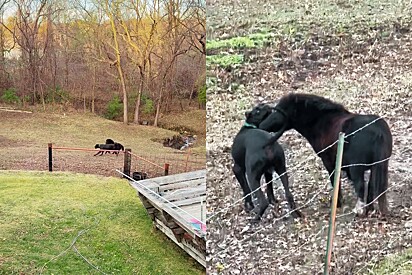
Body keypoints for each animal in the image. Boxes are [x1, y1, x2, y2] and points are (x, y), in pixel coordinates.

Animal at [260, 94, 392, 217]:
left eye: (278, 111)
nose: (261, 126)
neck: (322, 121)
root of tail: (378, 132)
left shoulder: (328, 162)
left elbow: (334, 180)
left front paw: (337, 203)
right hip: (378, 165)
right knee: (372, 186)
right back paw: (370, 209)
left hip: (357, 168)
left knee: (361, 185)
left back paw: (359, 211)